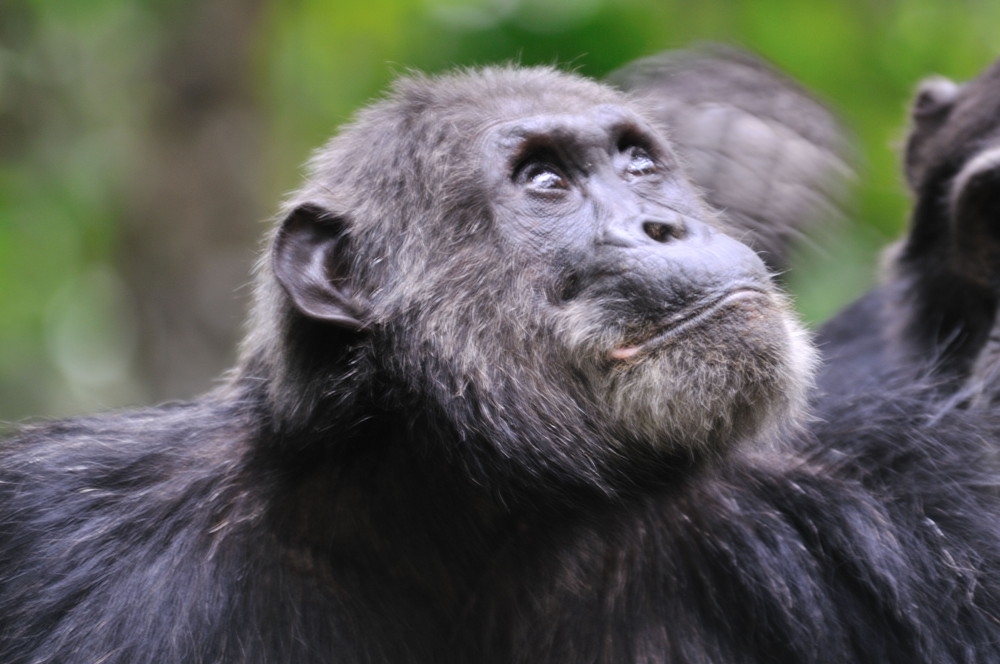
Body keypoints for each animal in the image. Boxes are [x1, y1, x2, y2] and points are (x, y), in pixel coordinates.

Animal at [1, 55, 1000, 664]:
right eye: (545, 181)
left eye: (639, 164)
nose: (664, 223)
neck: (474, 514)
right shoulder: (59, 525)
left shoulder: (904, 515)